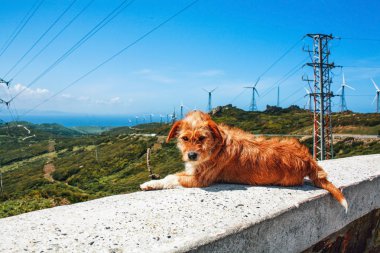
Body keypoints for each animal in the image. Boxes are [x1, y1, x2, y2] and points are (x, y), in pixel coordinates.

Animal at [140, 109, 348, 211]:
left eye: (202, 138)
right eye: (184, 138)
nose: (191, 156)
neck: (217, 145)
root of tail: (308, 159)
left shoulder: (199, 180)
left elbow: (171, 177)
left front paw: (151, 184)